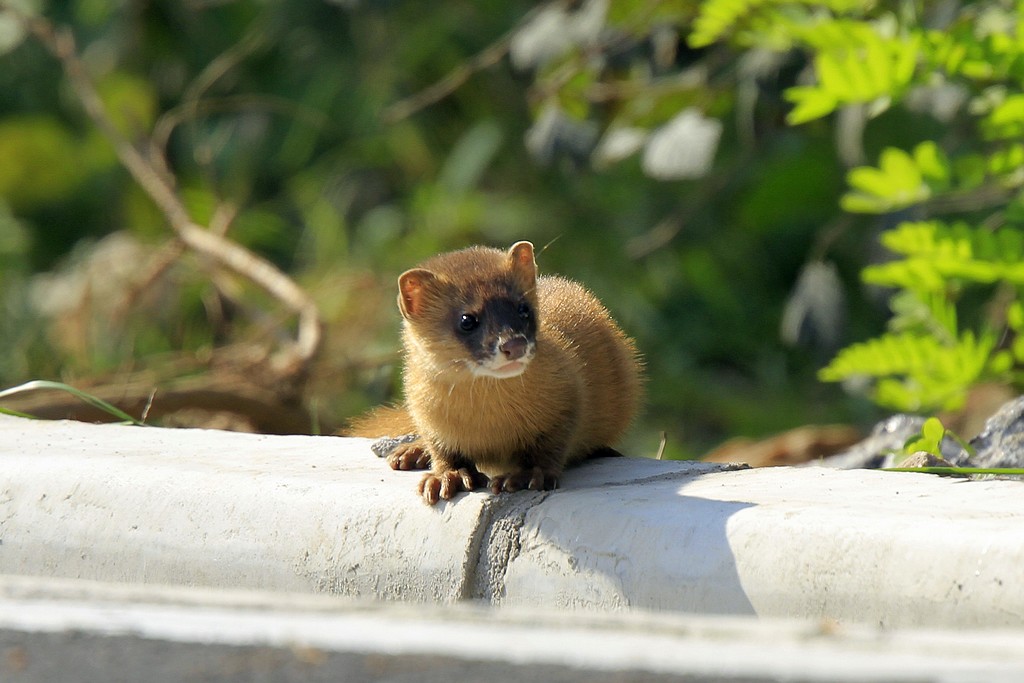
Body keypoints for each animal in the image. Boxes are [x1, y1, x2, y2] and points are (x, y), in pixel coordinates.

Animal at [348, 239, 643, 501]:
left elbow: (551, 445)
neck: (488, 423)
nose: (514, 344)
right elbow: (443, 449)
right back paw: (412, 451)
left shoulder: (569, 395)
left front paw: (526, 475)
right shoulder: (427, 416)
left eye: (524, 308)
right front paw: (447, 476)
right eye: (467, 320)